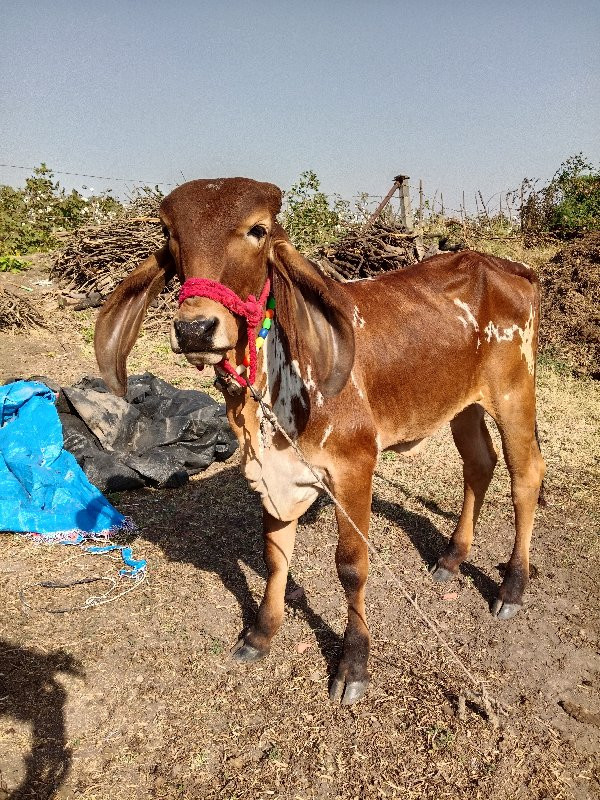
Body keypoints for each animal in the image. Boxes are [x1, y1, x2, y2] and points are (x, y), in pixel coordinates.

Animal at [95, 178, 548, 704]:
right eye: (170, 233)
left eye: (258, 230)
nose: (194, 329)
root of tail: (511, 267)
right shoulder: (275, 471)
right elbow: (274, 555)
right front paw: (261, 634)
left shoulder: (354, 466)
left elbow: (351, 566)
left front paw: (353, 663)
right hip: (463, 404)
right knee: (479, 464)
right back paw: (452, 559)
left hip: (514, 393)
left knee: (525, 475)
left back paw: (512, 587)